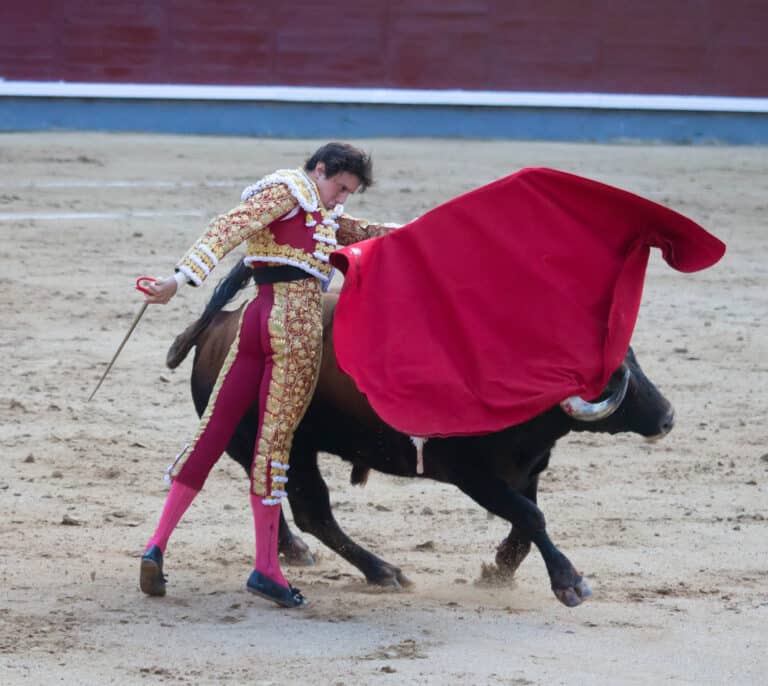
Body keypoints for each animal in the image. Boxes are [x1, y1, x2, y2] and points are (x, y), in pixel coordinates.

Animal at [166, 262, 672, 608]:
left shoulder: (526, 467)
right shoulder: (473, 474)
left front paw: (499, 569)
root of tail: (219, 324)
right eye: (613, 377)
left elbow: (528, 522)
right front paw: (569, 582)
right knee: (313, 512)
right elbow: (531, 516)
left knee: (278, 498)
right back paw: (382, 571)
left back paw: (298, 553)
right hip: (288, 443)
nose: (667, 416)